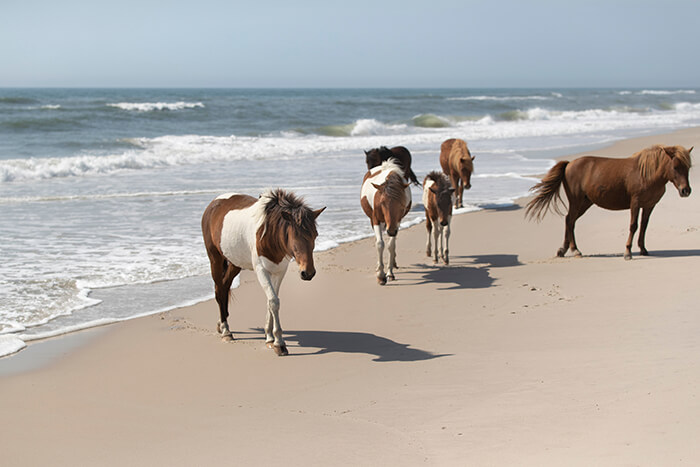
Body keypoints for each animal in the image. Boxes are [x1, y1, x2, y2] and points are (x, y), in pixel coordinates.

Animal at [200, 188, 326, 356]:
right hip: (215, 258)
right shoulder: (261, 270)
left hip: (235, 263)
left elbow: (271, 301)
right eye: (295, 235)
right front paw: (279, 343)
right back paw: (226, 331)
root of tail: (213, 204)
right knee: (219, 290)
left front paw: (270, 338)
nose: (308, 273)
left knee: (225, 286)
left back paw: (221, 324)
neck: (270, 235)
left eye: (315, 235)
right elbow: (274, 301)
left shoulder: (279, 271)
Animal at [528, 145, 692, 260]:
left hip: (585, 203)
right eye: (675, 167)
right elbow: (633, 226)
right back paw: (575, 250)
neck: (647, 174)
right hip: (576, 200)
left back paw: (563, 249)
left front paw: (643, 249)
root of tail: (569, 164)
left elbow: (644, 226)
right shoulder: (635, 203)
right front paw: (627, 252)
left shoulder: (649, 205)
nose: (686, 190)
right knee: (570, 220)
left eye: (688, 167)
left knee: (570, 220)